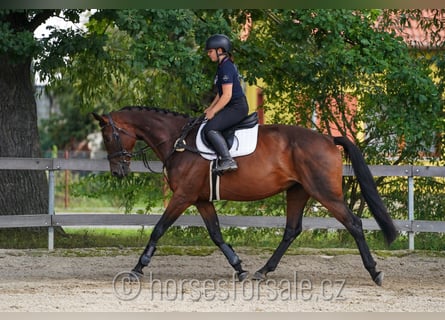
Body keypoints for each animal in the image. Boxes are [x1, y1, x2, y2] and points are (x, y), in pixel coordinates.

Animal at [92, 107, 398, 284]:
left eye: (107, 136)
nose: (118, 171)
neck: (179, 142)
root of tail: (327, 138)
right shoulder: (200, 199)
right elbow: (216, 234)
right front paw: (239, 268)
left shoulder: (183, 196)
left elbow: (158, 229)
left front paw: (137, 268)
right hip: (298, 191)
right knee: (291, 230)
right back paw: (263, 271)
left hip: (325, 193)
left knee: (354, 223)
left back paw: (375, 272)